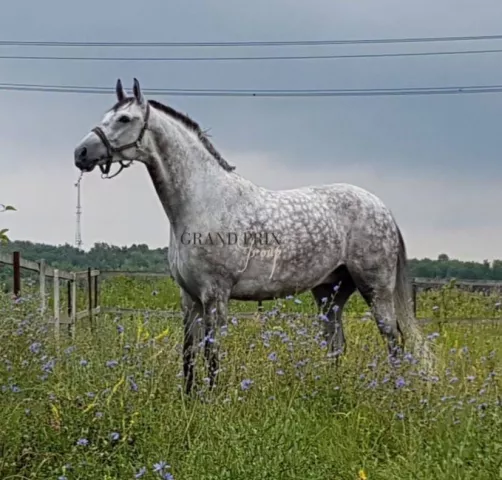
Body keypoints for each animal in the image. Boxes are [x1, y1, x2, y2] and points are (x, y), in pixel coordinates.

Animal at [73, 78, 436, 394]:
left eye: (124, 118)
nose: (81, 153)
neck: (203, 201)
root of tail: (381, 207)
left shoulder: (215, 296)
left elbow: (212, 354)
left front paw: (212, 402)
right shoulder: (189, 298)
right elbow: (188, 353)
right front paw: (189, 401)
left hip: (375, 289)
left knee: (393, 340)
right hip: (329, 294)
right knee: (336, 344)